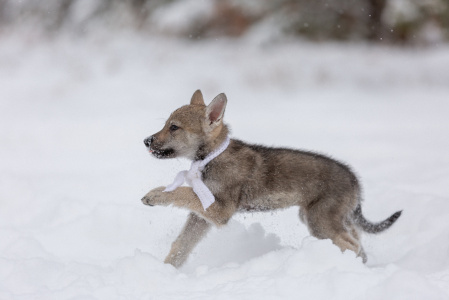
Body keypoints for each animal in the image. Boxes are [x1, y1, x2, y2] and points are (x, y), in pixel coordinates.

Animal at [142, 90, 400, 268]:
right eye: (165, 124)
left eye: (174, 127)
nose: (146, 141)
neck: (212, 157)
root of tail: (355, 181)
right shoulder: (203, 216)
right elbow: (181, 245)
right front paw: (167, 272)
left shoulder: (220, 210)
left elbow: (181, 192)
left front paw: (155, 194)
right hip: (326, 219)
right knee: (357, 239)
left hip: (320, 222)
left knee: (352, 244)